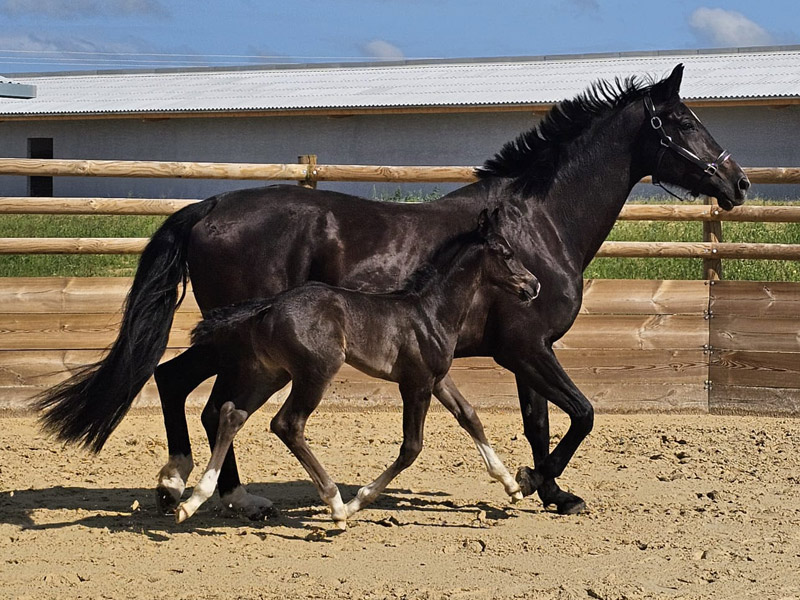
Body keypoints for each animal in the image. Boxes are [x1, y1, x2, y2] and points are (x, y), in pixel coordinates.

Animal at [175, 208, 539, 527]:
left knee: (231, 414)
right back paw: (335, 505)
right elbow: (411, 448)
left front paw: (512, 486)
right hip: (316, 372)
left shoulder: (438, 379)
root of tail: (269, 305)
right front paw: (356, 502)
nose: (533, 286)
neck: (429, 312)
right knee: (287, 424)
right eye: (507, 253)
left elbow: (470, 417)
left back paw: (193, 501)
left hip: (271, 373)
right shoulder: (417, 383)